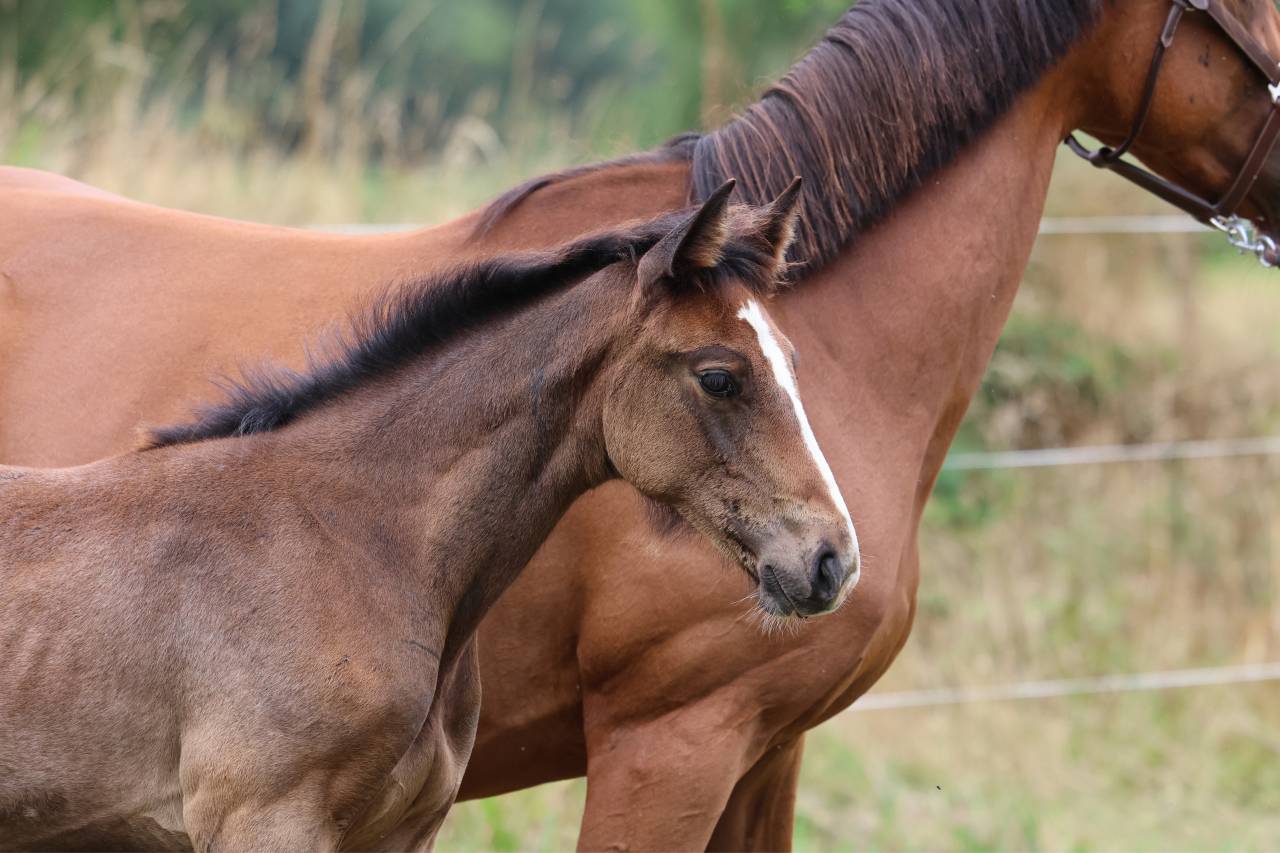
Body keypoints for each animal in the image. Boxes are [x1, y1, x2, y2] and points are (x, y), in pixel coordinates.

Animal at [0, 185, 861, 850]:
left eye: (794, 359)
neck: (352, 537)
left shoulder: (404, 828)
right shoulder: (263, 819)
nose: (833, 560)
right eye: (719, 376)